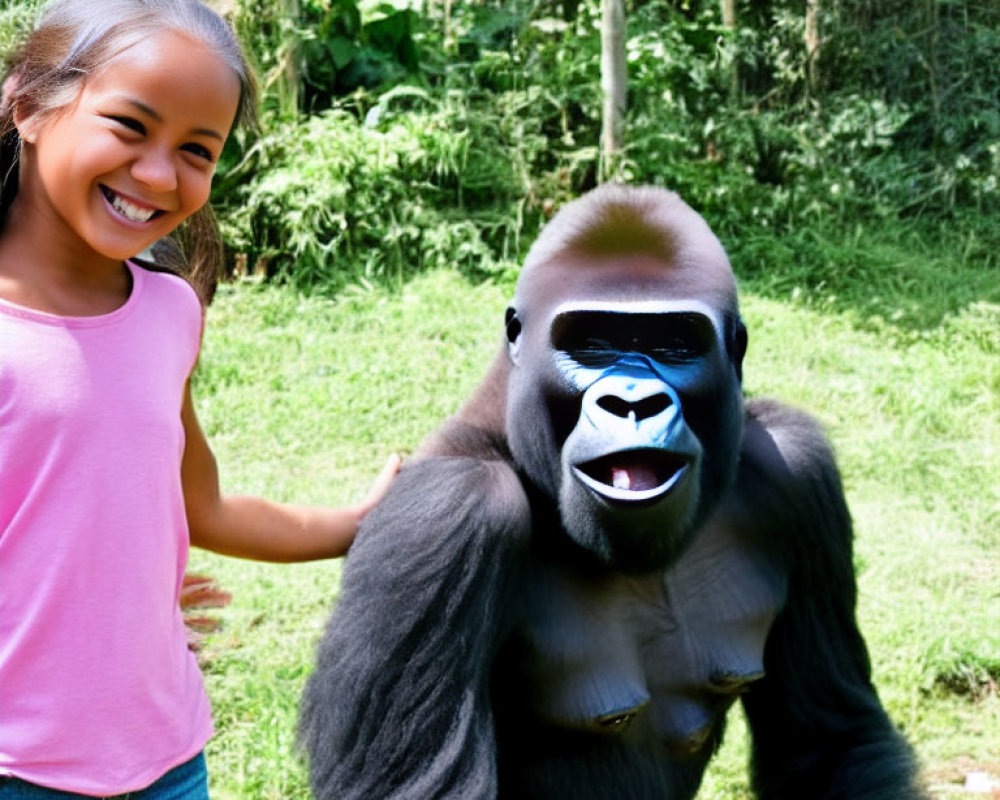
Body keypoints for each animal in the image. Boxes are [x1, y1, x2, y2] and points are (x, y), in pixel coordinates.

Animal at [298, 183, 928, 800]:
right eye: (592, 344)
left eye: (676, 344)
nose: (633, 403)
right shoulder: (444, 516)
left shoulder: (797, 469)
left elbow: (831, 743)